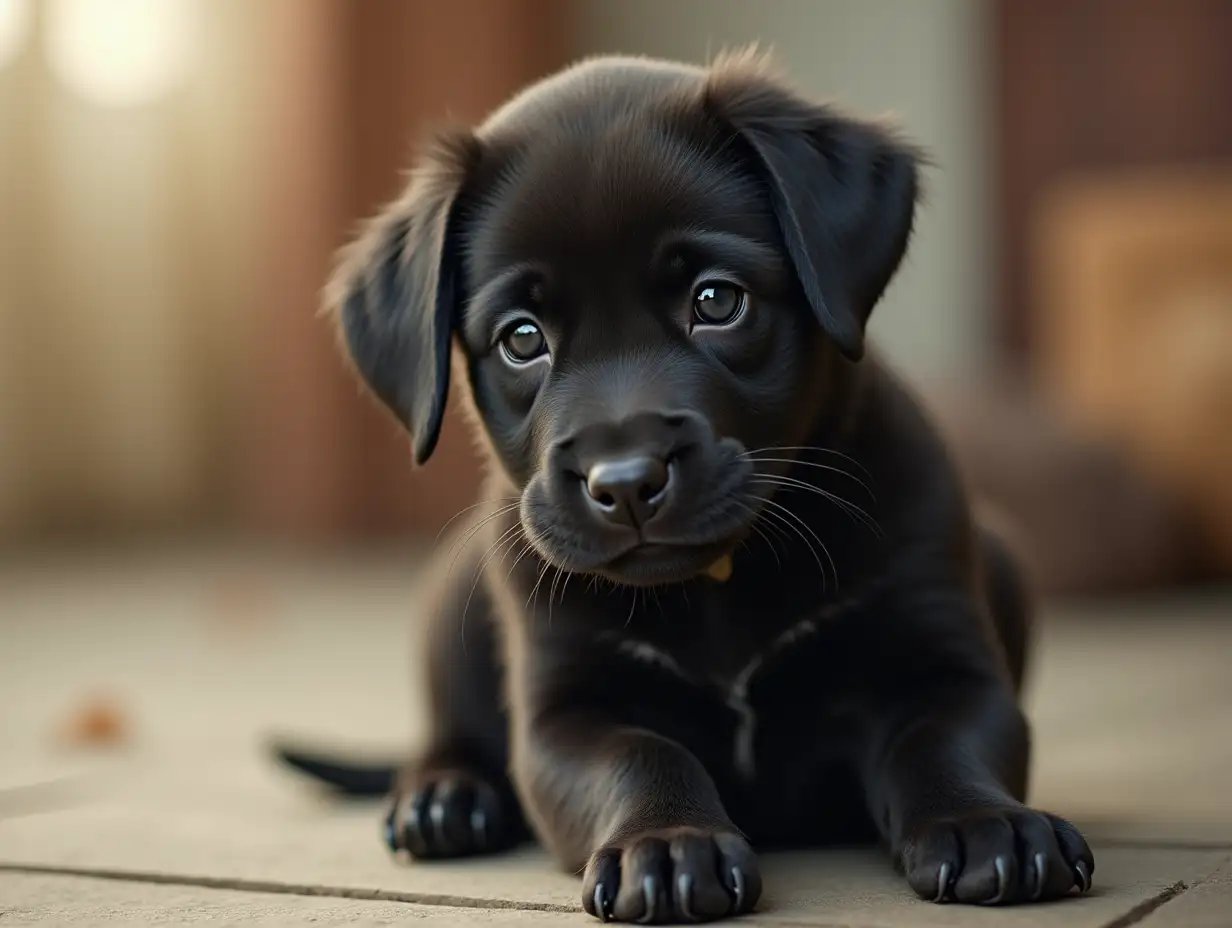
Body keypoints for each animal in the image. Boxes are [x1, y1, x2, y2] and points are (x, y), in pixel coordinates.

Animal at [277, 54, 1089, 921]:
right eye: (522, 340)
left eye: (716, 300)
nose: (627, 482)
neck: (718, 583)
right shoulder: (566, 713)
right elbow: (641, 755)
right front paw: (667, 844)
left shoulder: (943, 665)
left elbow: (939, 742)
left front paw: (984, 823)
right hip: (449, 612)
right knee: (448, 735)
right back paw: (443, 797)